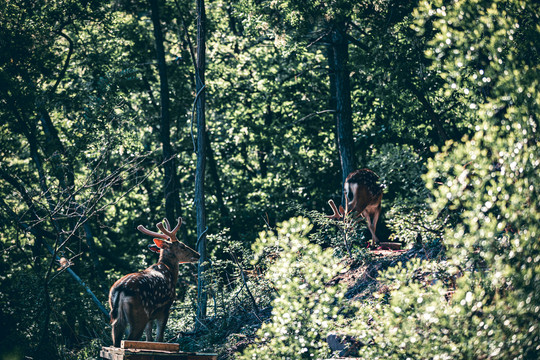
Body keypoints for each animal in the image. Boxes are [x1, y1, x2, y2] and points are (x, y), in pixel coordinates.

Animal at [108, 218, 199, 348]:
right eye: (182, 246)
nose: (197, 254)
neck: (169, 271)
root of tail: (121, 289)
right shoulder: (165, 308)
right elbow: (159, 338)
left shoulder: (150, 316)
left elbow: (149, 339)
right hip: (139, 315)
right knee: (128, 340)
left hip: (117, 316)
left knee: (116, 339)